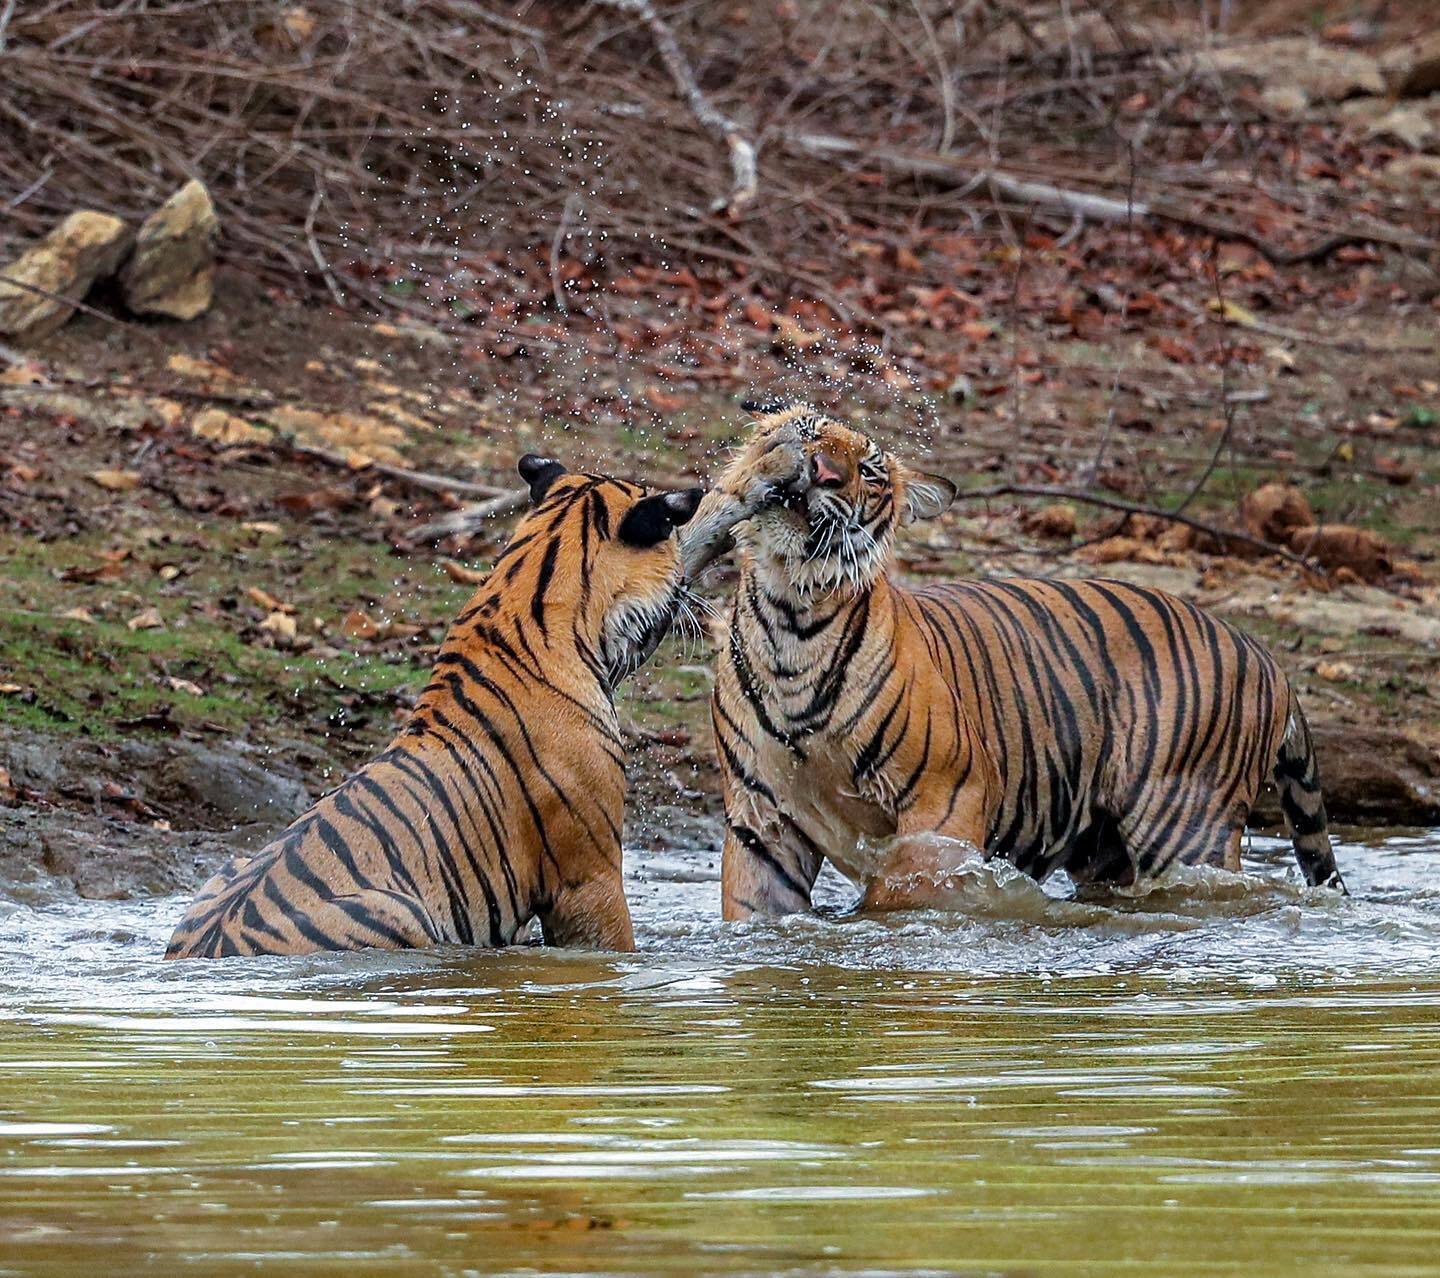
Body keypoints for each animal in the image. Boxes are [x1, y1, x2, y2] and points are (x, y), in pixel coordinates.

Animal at [714, 402, 1342, 915]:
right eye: (807, 433)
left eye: (869, 471)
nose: (820, 472)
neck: (792, 622)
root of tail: (1265, 654)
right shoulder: (761, 820)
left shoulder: (946, 799)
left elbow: (903, 885)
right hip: (1104, 849)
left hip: (1186, 828)